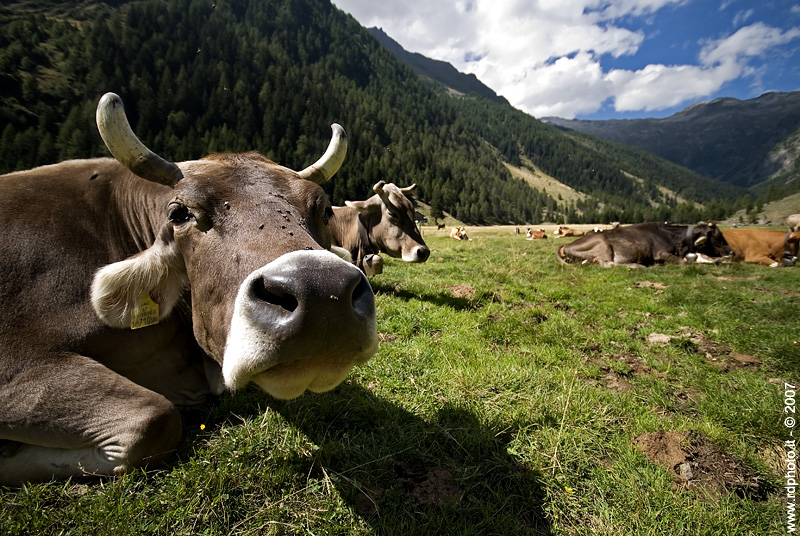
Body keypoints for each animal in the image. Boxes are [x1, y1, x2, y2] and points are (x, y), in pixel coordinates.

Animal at [556, 222, 733, 267]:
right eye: (719, 236)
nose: (732, 252)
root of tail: (565, 245)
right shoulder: (661, 253)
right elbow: (684, 262)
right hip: (603, 243)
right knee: (608, 264)